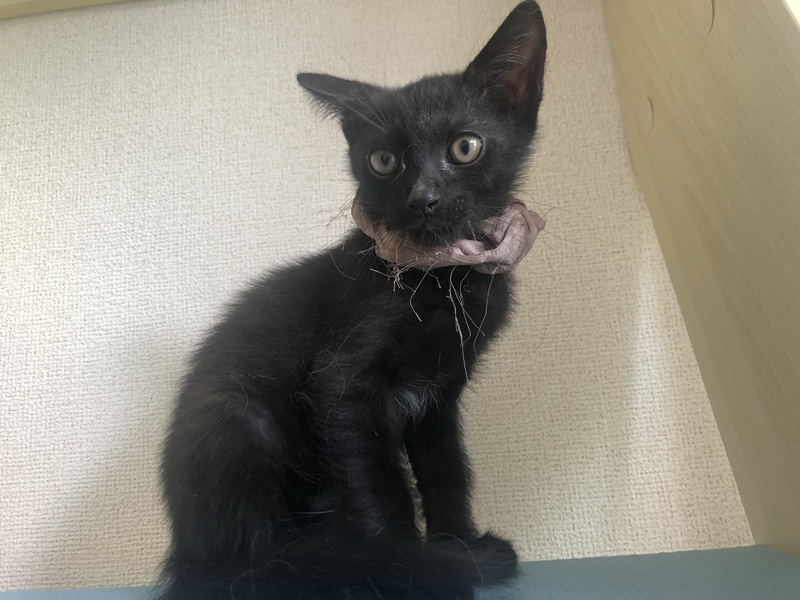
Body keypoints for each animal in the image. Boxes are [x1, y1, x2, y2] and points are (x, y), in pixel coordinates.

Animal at [158, 2, 546, 599]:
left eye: (465, 147)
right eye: (383, 160)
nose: (424, 198)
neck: (445, 275)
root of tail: (184, 550)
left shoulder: (441, 392)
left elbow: (447, 470)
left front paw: (459, 544)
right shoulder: (343, 385)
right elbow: (380, 485)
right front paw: (416, 569)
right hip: (240, 422)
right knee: (241, 563)